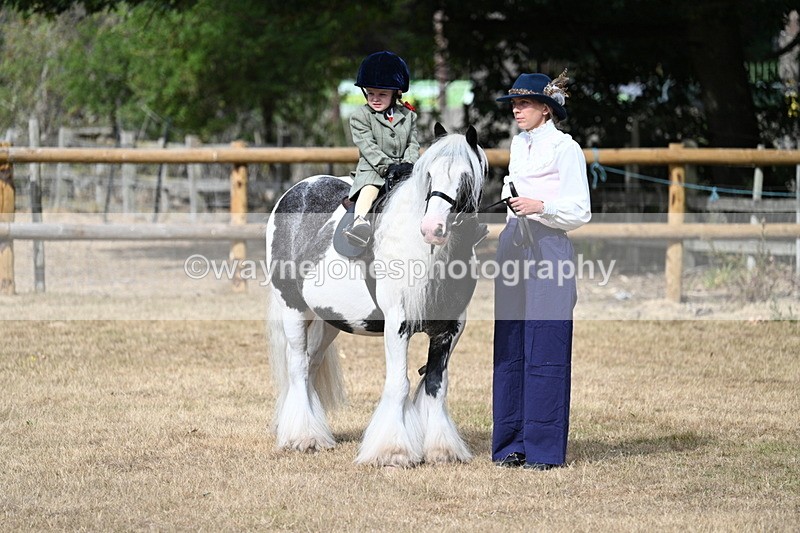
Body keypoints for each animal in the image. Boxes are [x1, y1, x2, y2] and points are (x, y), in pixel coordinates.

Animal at [265, 124, 487, 467]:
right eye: (429, 176)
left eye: (465, 177)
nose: (432, 228)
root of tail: (297, 190)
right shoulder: (398, 325)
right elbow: (399, 383)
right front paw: (392, 451)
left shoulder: (449, 330)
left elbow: (436, 385)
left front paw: (442, 450)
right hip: (293, 309)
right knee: (298, 367)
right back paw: (304, 437)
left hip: (329, 320)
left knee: (311, 363)